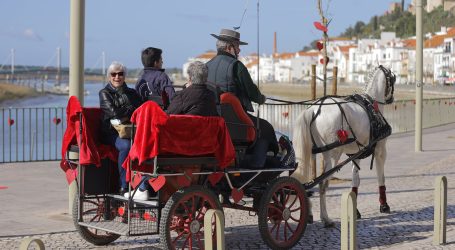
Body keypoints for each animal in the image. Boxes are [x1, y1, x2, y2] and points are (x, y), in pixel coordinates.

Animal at [292, 65, 396, 228]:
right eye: (393, 79)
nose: (391, 98)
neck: (372, 104)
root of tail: (314, 110)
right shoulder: (380, 150)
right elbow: (381, 177)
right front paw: (384, 205)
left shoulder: (356, 154)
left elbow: (355, 180)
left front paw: (355, 210)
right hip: (333, 155)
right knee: (323, 184)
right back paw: (326, 218)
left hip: (313, 154)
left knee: (308, 181)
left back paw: (309, 214)